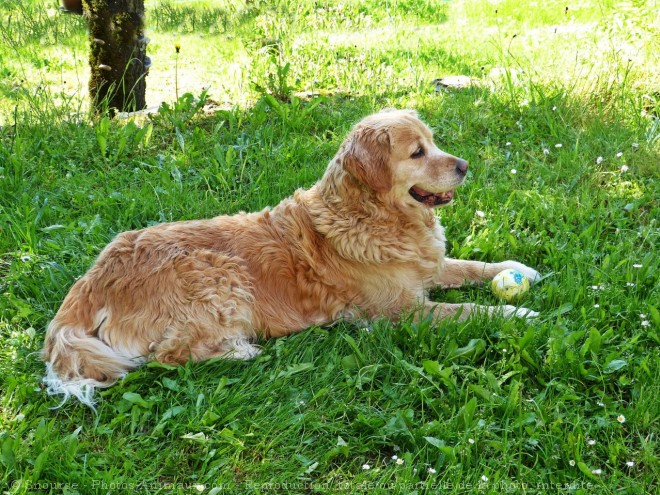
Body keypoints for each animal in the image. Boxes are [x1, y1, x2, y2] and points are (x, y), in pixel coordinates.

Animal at [41, 109, 540, 406]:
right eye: (418, 152)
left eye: (433, 142)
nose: (464, 166)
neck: (375, 216)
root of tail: (89, 281)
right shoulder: (400, 312)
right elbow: (470, 309)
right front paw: (518, 312)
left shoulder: (425, 269)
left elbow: (472, 267)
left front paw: (517, 271)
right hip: (215, 272)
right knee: (170, 355)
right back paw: (238, 351)